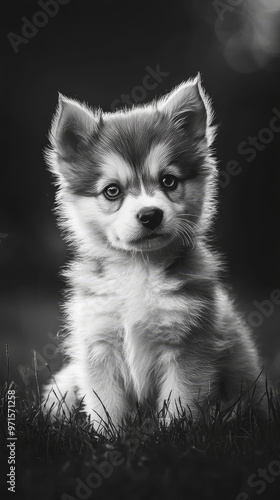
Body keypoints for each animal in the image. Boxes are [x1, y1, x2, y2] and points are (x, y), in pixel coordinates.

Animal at [42, 76, 266, 428]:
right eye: (112, 191)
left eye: (168, 181)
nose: (150, 215)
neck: (139, 267)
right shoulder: (99, 341)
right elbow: (106, 405)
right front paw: (107, 437)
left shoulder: (188, 344)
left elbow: (180, 401)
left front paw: (175, 433)